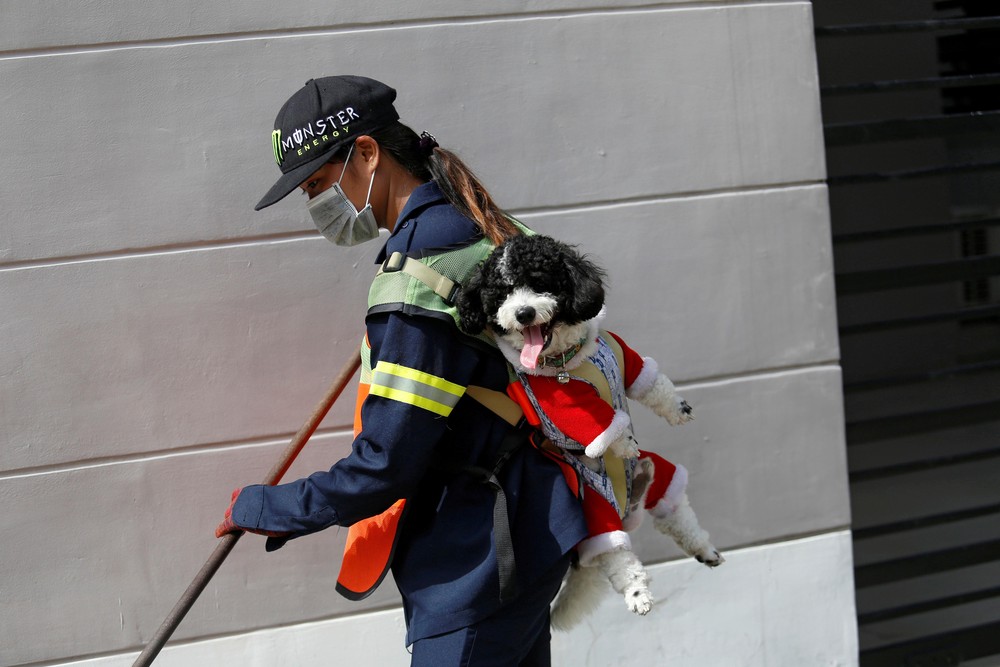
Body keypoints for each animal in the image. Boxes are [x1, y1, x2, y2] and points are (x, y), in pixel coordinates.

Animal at [458, 236, 724, 632]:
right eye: (502, 293)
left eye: (539, 282)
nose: (523, 313)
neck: (569, 359)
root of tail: (629, 506)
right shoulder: (558, 400)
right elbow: (596, 421)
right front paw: (622, 440)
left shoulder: (622, 355)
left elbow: (649, 382)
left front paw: (678, 408)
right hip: (597, 510)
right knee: (617, 553)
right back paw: (638, 595)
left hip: (658, 471)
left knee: (673, 508)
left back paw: (702, 548)